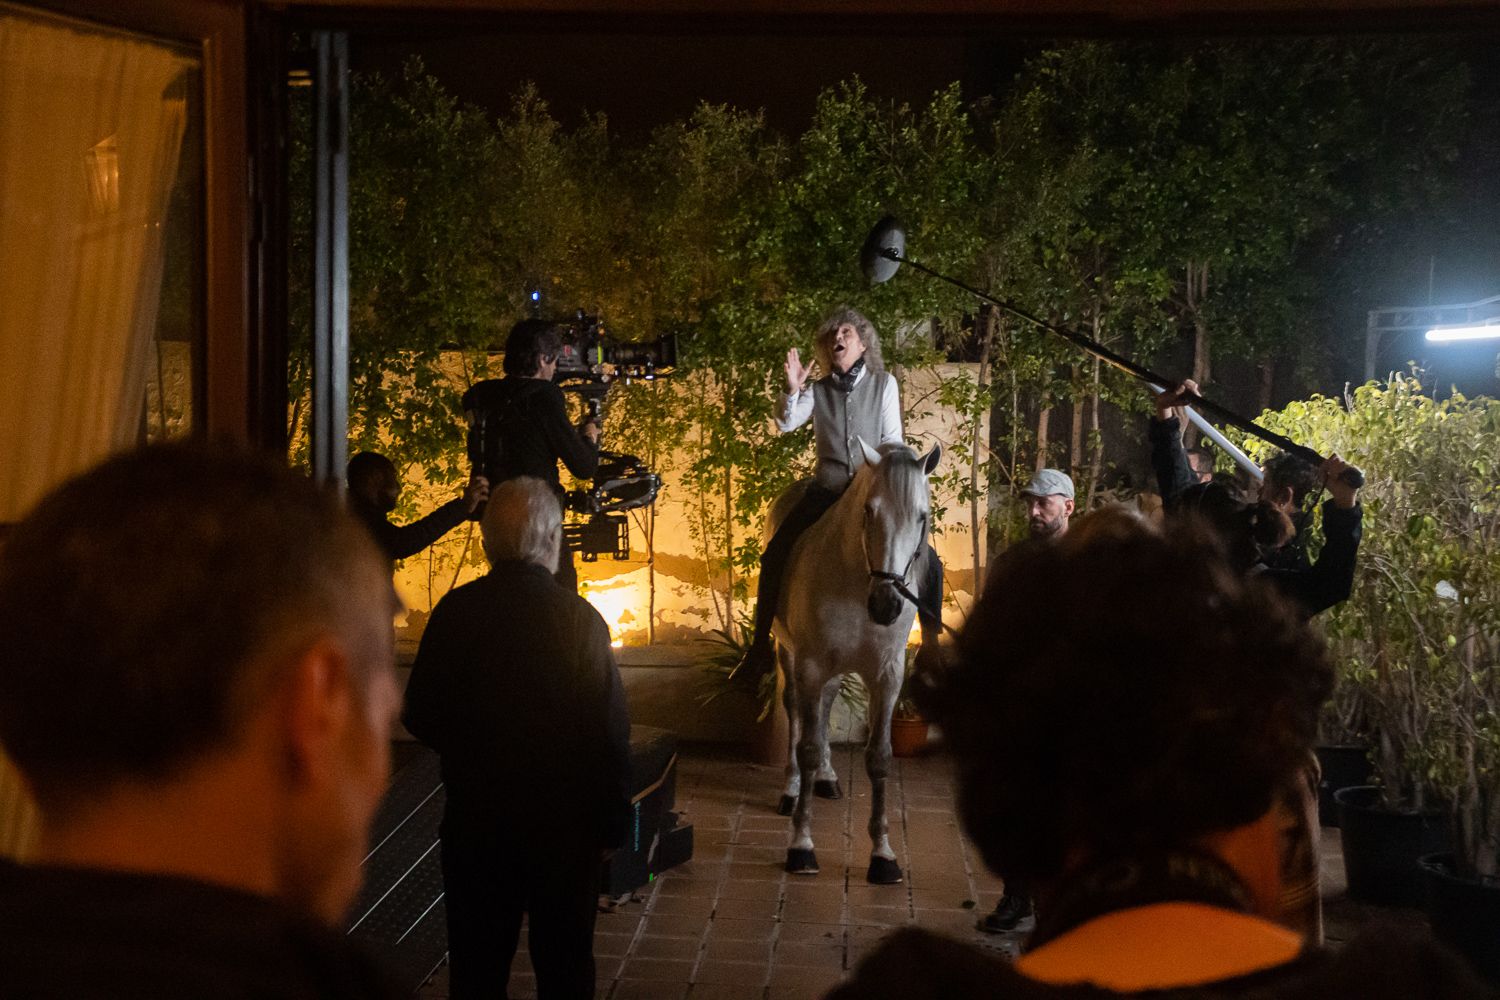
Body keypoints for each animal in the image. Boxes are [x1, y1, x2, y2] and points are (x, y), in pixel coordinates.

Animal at [774, 437, 936, 881]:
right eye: (868, 510)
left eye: (922, 517)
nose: (887, 604)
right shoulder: (810, 665)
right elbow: (808, 748)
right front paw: (801, 845)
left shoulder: (887, 676)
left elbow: (879, 758)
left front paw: (882, 853)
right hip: (788, 654)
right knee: (794, 713)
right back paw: (792, 788)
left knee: (827, 705)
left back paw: (827, 779)